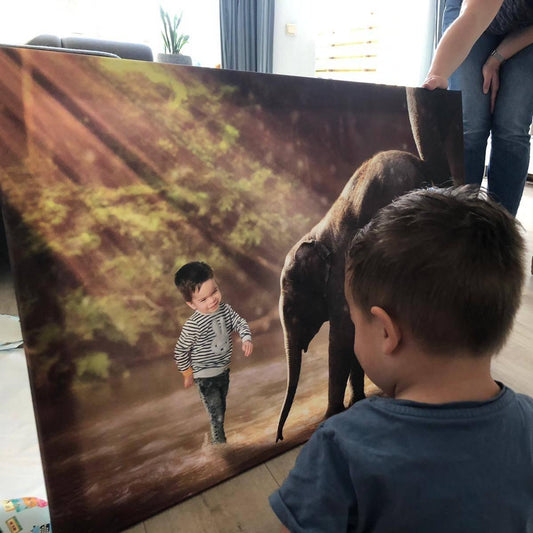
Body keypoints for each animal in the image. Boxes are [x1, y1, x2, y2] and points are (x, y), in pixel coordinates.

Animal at [276, 86, 464, 440]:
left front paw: (331, 416)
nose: (278, 437)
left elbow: (343, 336)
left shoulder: (340, 277)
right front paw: (357, 402)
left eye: (292, 310)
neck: (316, 232)